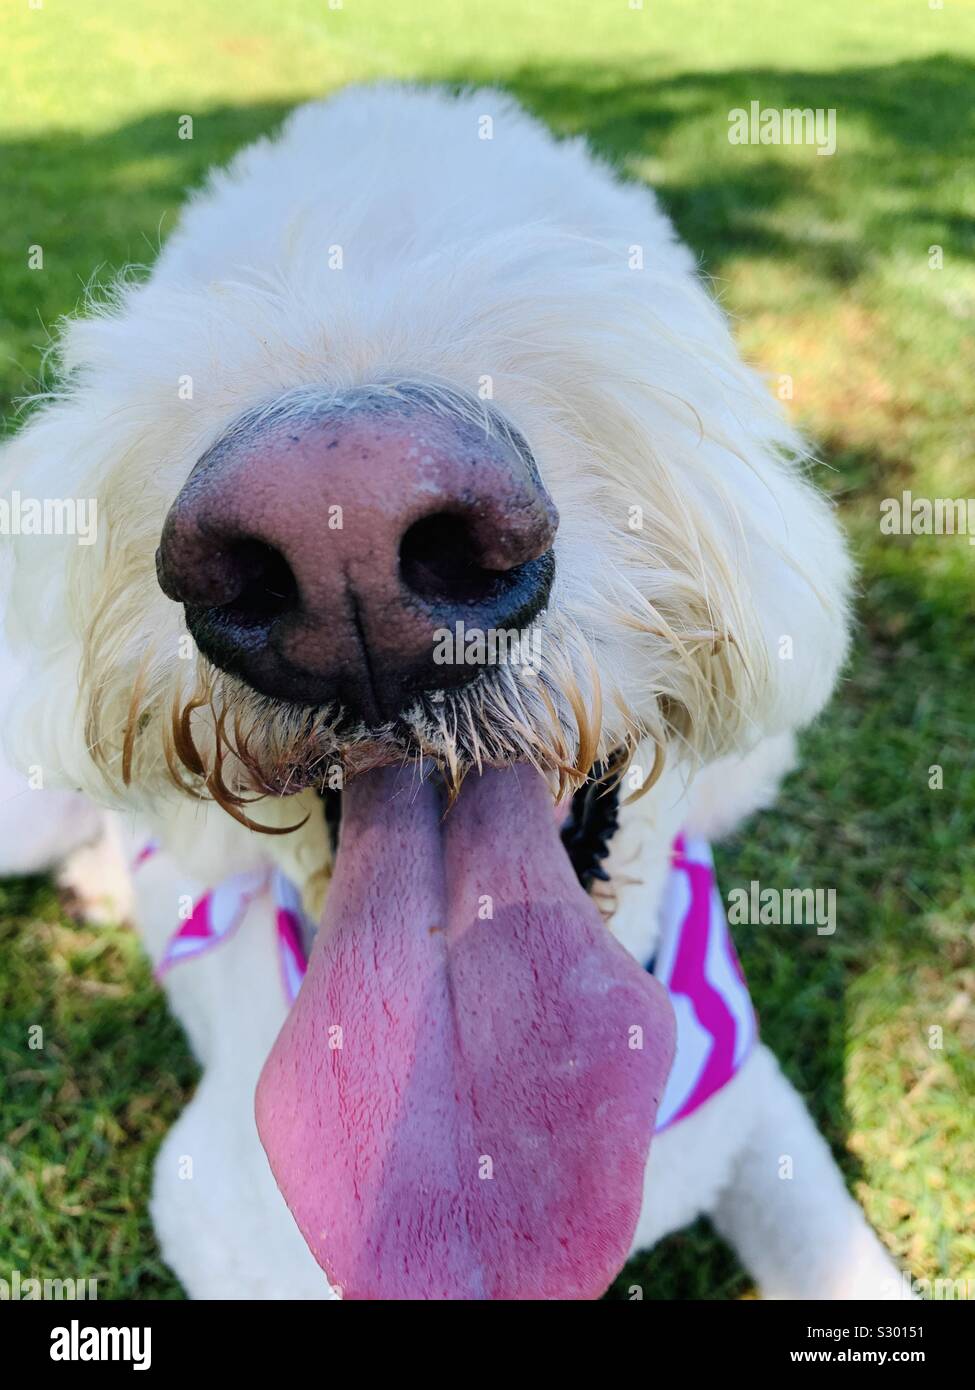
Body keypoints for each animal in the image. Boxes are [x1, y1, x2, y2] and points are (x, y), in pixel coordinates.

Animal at [1, 84, 912, 1301]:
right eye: (210, 274)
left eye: (591, 245)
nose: (340, 539)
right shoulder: (217, 1212)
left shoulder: (752, 1102)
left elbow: (837, 1247)